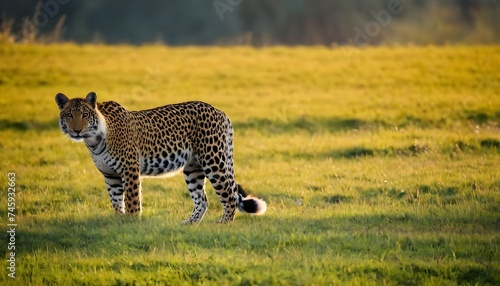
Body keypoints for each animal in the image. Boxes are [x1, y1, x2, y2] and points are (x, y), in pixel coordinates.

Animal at [54, 92, 266, 223]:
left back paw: (223, 223)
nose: (77, 130)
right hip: (193, 168)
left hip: (213, 161)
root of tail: (220, 112)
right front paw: (119, 220)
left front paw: (132, 222)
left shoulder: (129, 170)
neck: (94, 140)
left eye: (84, 114)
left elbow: (132, 199)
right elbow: (115, 200)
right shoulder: (110, 176)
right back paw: (189, 224)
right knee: (202, 200)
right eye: (69, 115)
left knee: (228, 194)